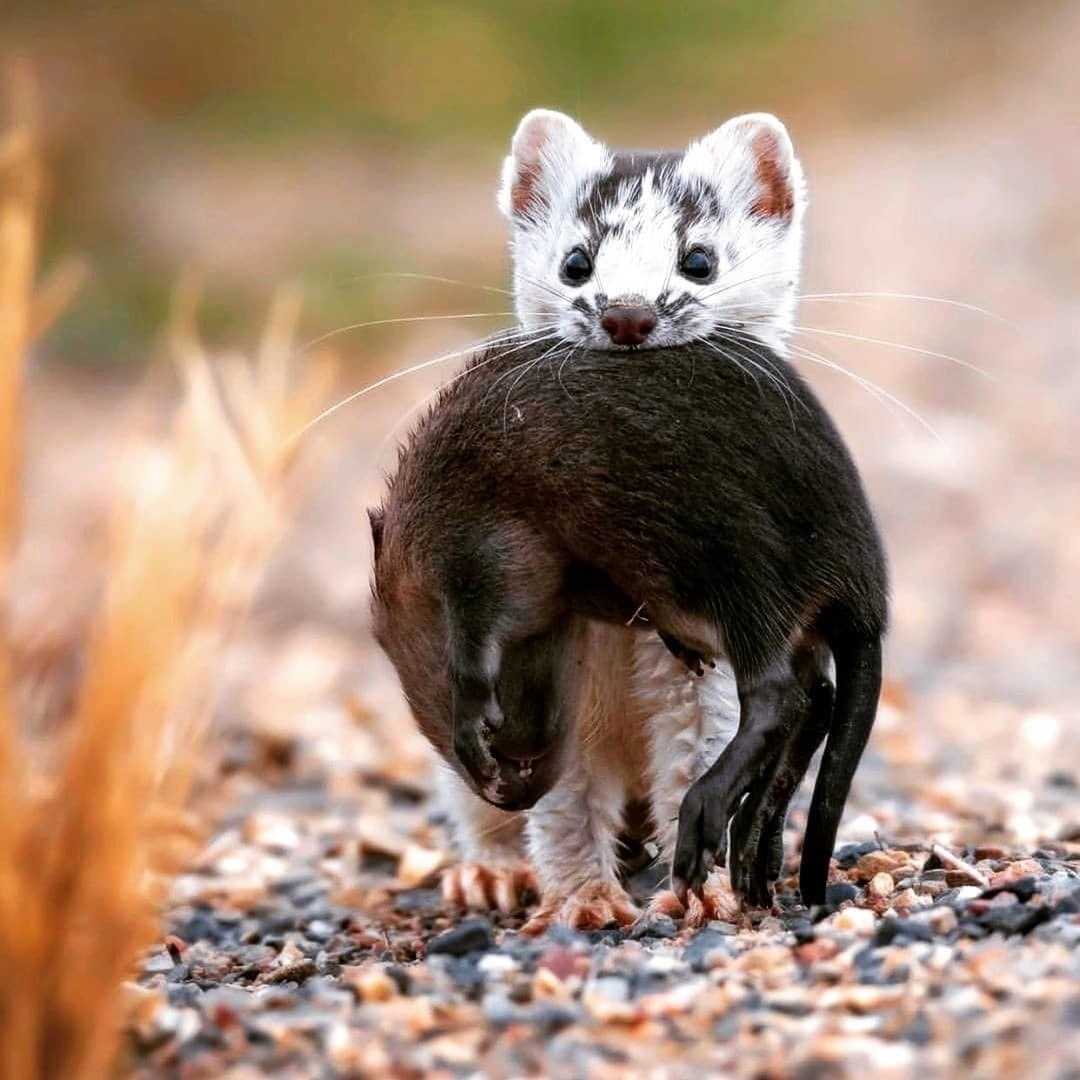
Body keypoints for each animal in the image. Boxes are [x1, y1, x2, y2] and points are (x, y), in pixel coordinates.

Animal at [367, 109, 881, 928]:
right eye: (576, 261)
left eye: (698, 259)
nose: (628, 314)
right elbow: (564, 806)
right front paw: (584, 903)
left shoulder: (698, 680)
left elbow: (696, 756)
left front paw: (703, 891)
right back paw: (489, 875)